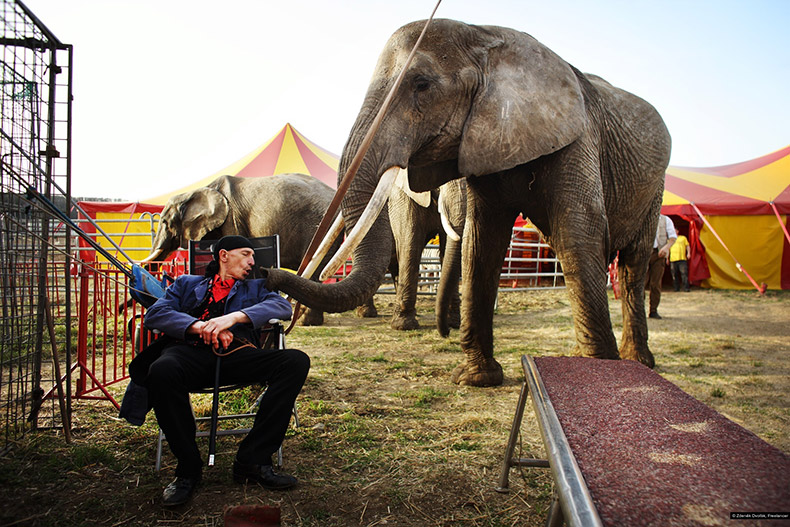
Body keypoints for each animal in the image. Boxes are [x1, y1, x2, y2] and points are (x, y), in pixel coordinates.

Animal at [262, 19, 672, 388]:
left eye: (421, 84)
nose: (267, 274)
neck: (487, 36)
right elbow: (480, 244)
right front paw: (476, 379)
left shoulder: (577, 139)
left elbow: (577, 234)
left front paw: (604, 377)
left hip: (655, 187)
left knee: (632, 263)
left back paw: (640, 363)